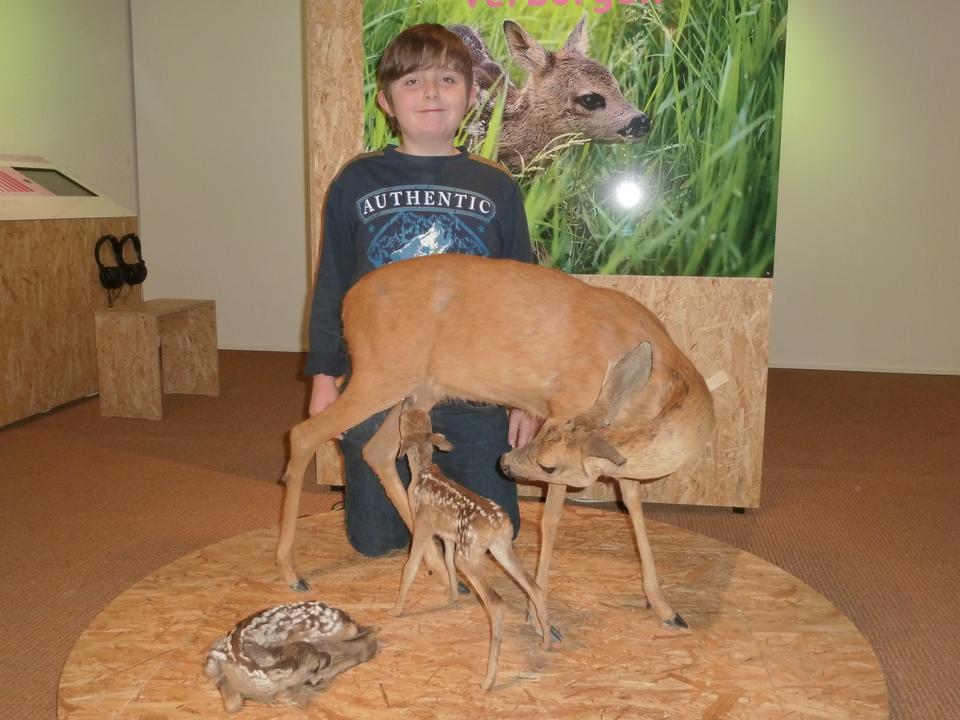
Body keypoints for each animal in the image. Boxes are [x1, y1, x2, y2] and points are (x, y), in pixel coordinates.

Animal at [276, 253, 715, 638]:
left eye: (546, 455)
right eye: (544, 436)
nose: (504, 462)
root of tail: (350, 301)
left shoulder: (608, 442)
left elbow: (635, 506)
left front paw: (666, 608)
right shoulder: (569, 406)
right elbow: (552, 521)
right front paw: (539, 617)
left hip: (417, 389)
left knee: (376, 451)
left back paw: (439, 568)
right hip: (380, 374)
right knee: (304, 434)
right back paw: (292, 572)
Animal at [392, 398, 551, 690]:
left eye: (404, 417)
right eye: (418, 414)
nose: (408, 399)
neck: (422, 473)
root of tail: (498, 524)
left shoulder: (422, 526)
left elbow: (410, 567)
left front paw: (396, 609)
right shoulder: (449, 535)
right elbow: (447, 565)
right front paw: (453, 597)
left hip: (470, 554)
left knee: (496, 603)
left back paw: (488, 681)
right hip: (500, 548)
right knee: (533, 586)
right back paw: (545, 643)